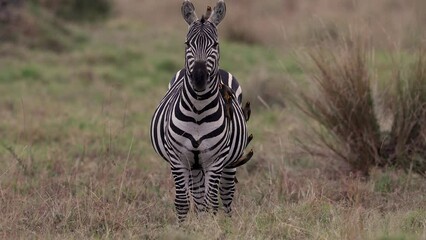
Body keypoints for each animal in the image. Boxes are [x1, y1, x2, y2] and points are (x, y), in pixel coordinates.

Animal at [149, 0, 251, 221]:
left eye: (215, 44)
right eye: (187, 44)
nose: (199, 78)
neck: (198, 110)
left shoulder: (216, 160)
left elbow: (212, 201)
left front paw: (210, 226)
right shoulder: (178, 158)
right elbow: (183, 202)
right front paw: (186, 226)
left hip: (229, 161)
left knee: (226, 194)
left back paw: (227, 221)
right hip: (194, 164)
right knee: (198, 196)